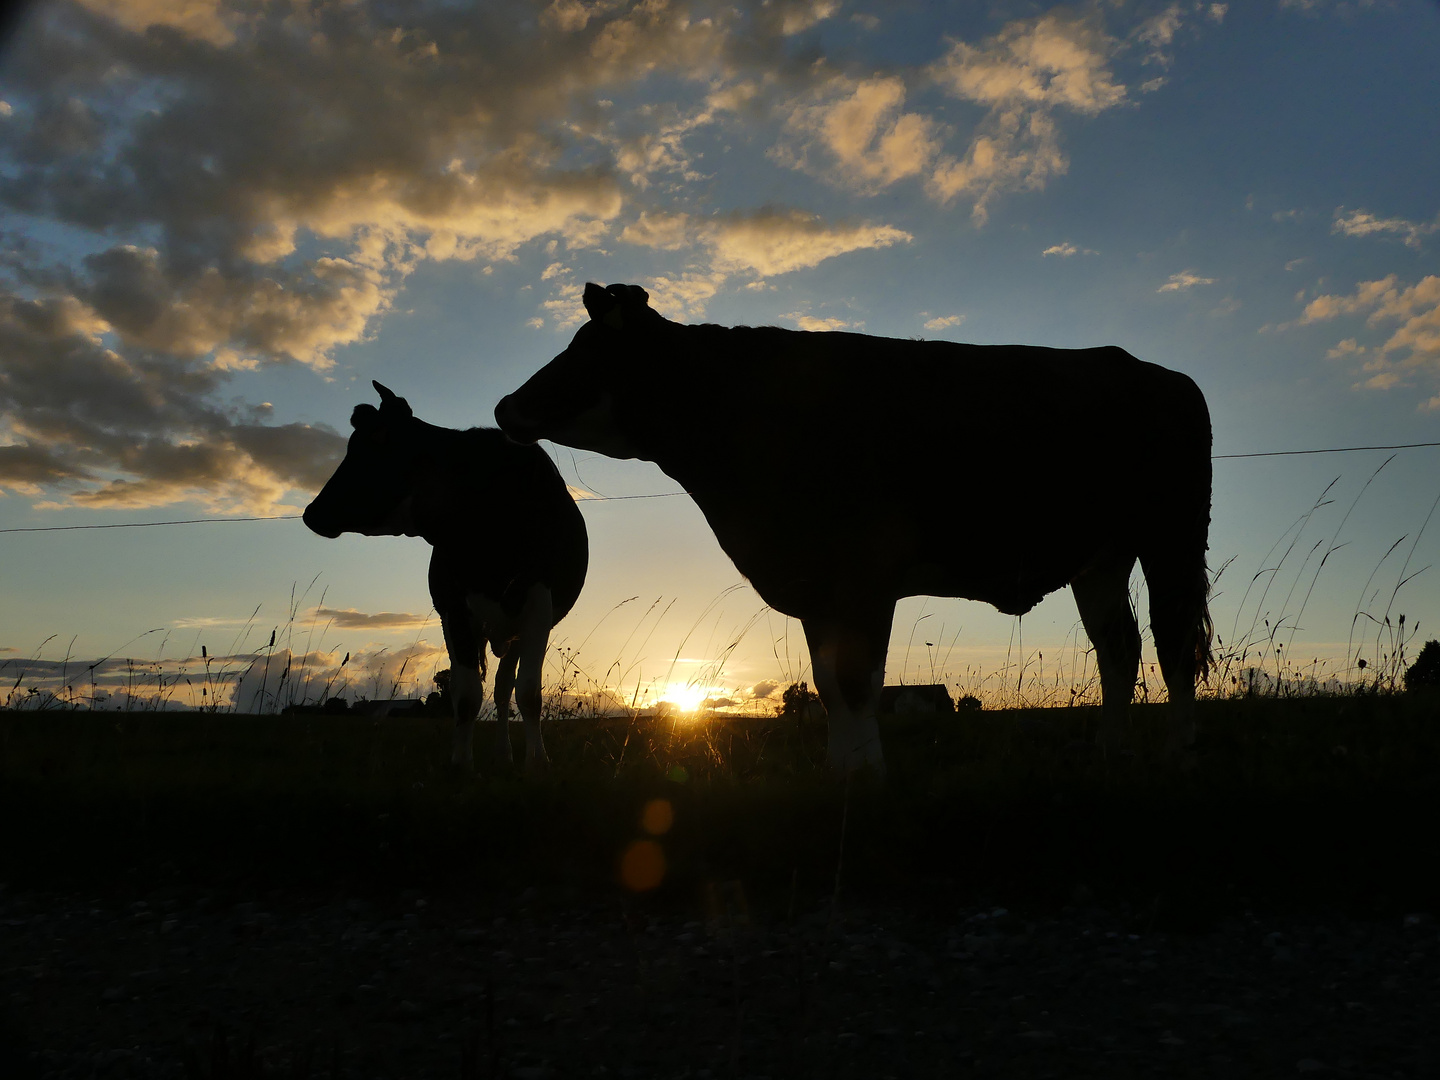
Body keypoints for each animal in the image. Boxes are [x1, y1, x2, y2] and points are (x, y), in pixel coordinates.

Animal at [303, 385, 590, 771]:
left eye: (380, 440)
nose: (312, 513)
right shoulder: (454, 608)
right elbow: (466, 694)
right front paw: (461, 762)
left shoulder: (537, 607)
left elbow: (528, 692)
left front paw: (538, 760)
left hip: (512, 629)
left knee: (505, 687)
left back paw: (506, 753)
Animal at [501, 280, 1209, 777]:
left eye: (584, 350)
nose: (505, 406)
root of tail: (1157, 373)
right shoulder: (815, 581)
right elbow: (827, 678)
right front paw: (839, 767)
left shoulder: (864, 571)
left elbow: (857, 675)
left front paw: (866, 770)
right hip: (1101, 557)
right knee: (1119, 647)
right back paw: (1111, 753)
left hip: (1170, 537)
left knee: (1173, 641)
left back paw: (1178, 754)